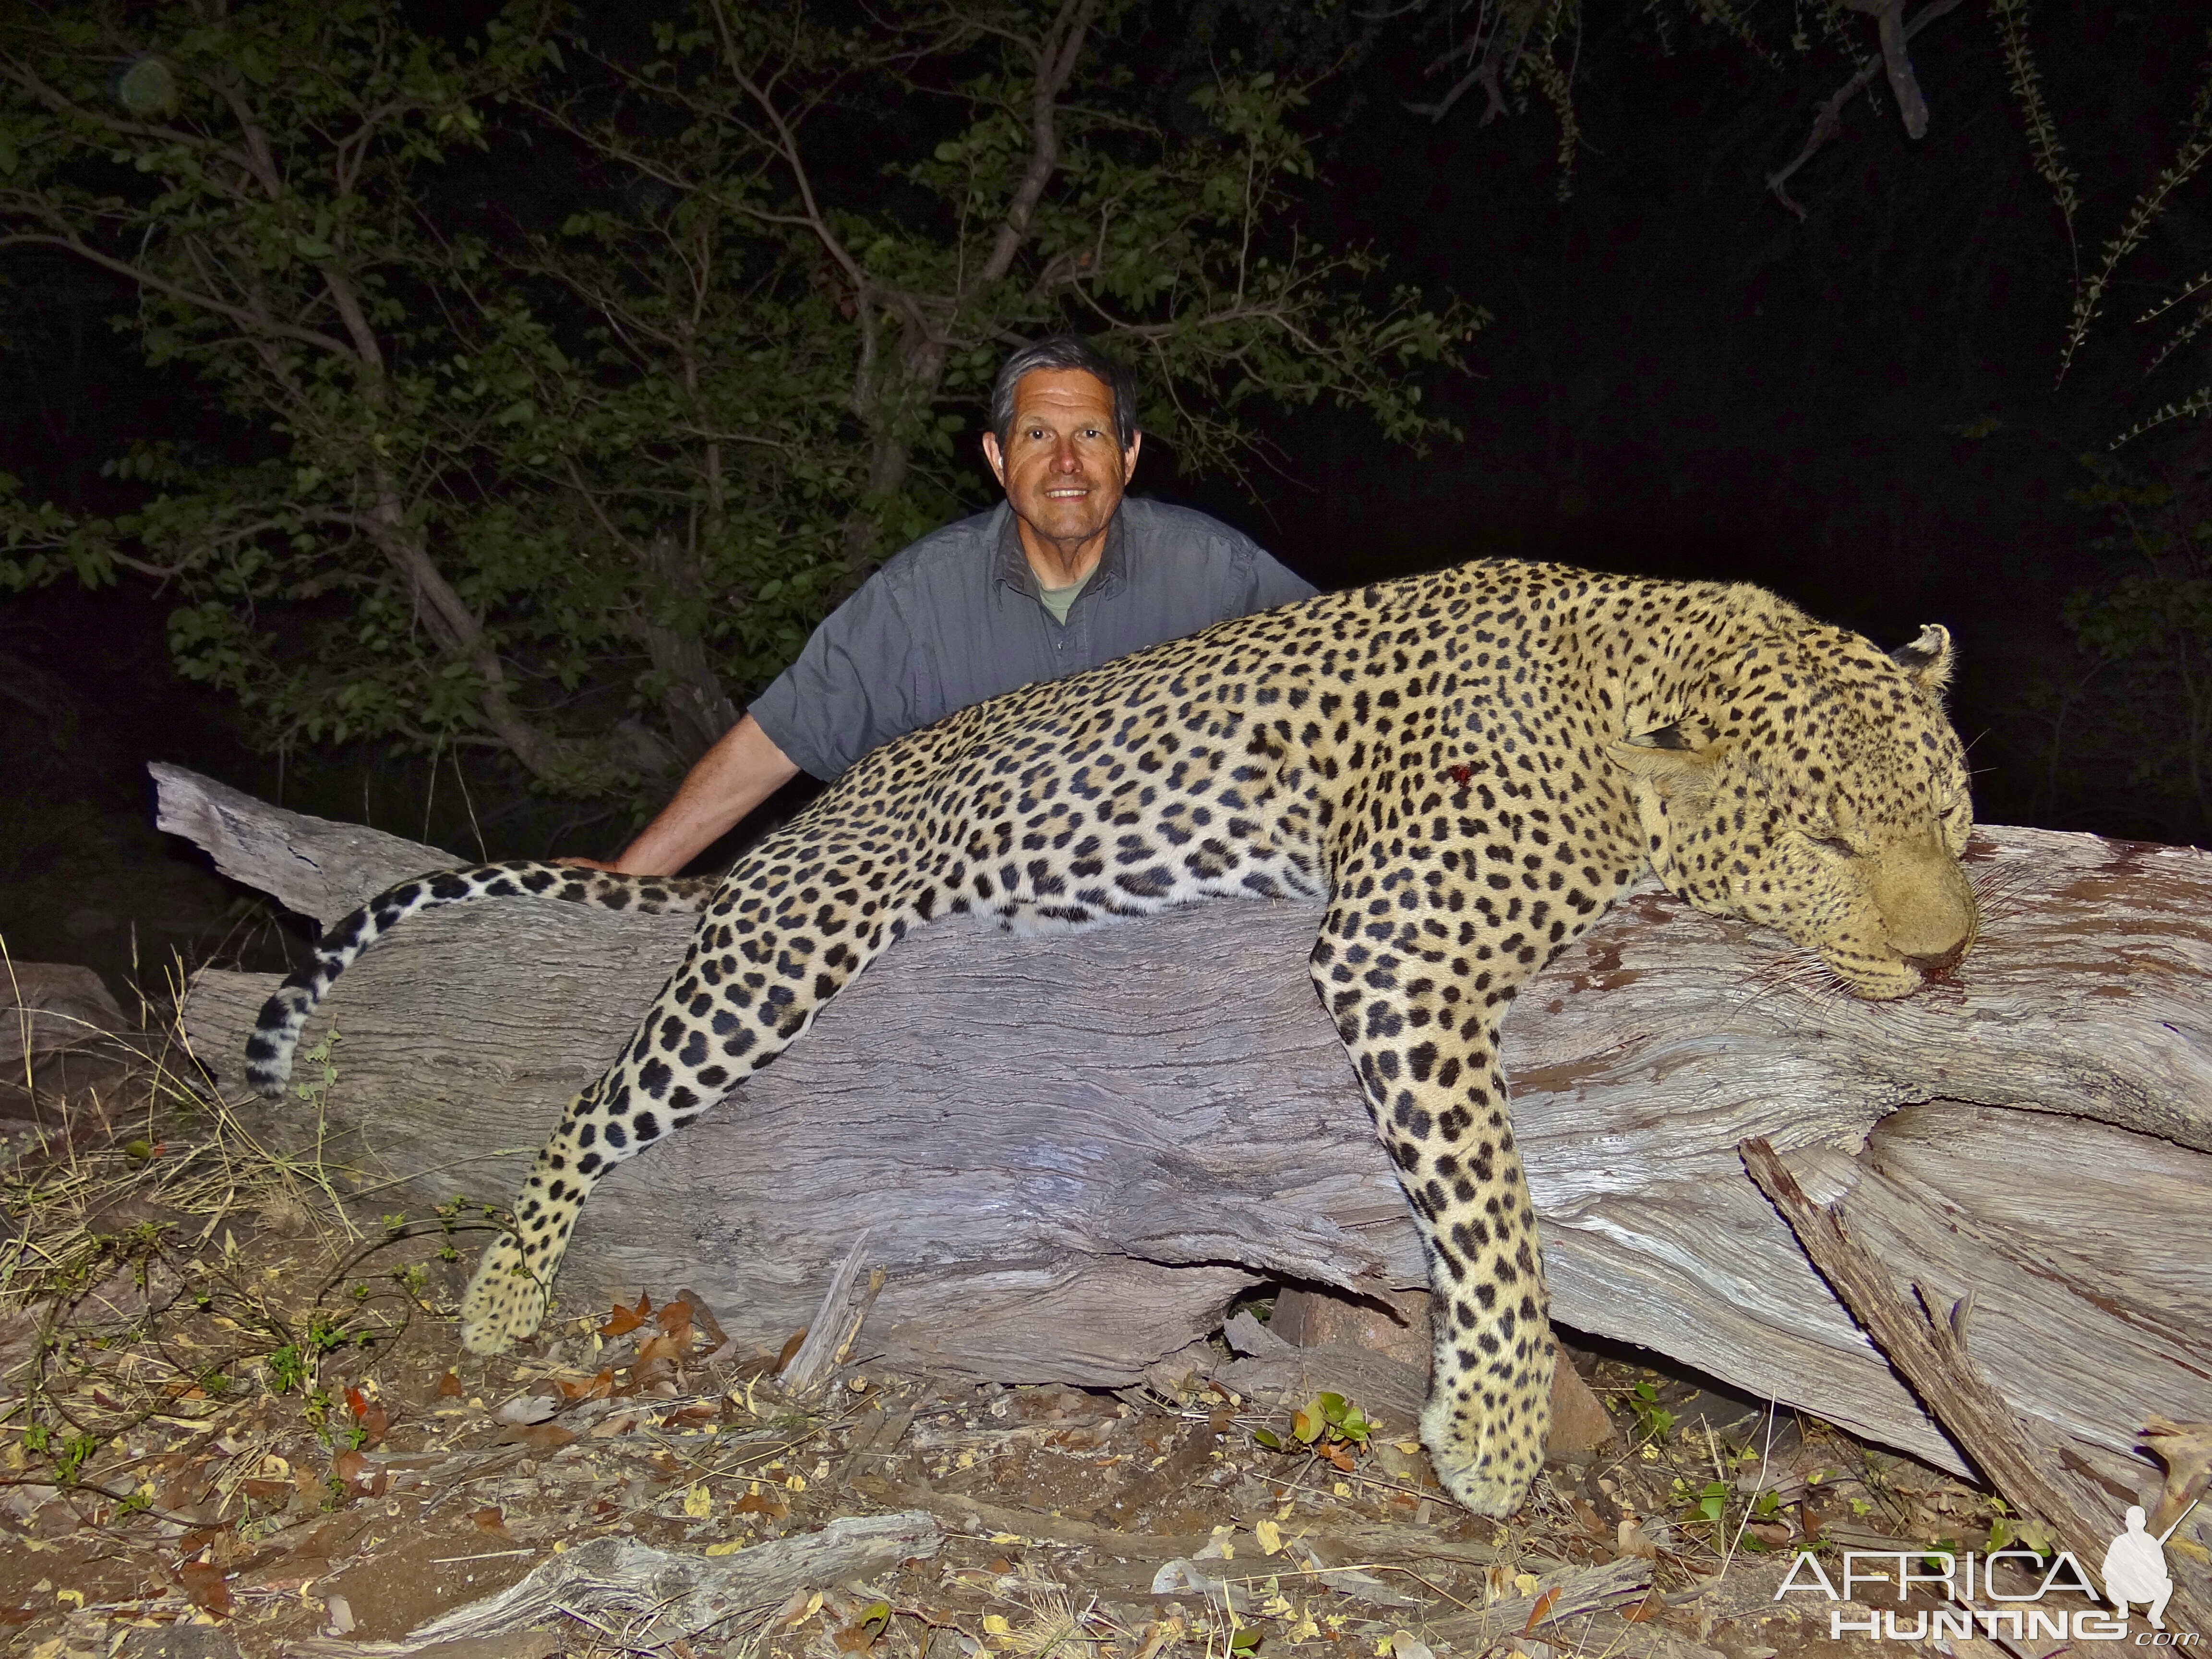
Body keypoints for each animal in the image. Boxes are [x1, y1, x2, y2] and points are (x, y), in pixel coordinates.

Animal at [242, 559, 1973, 1522]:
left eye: (1950, 818)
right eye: (1824, 836)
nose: (1947, 952)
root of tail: (797, 827)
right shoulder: (1398, 945)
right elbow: (1492, 1205)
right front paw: (1490, 1434)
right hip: (773, 961)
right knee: (597, 1097)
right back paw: (500, 1290)